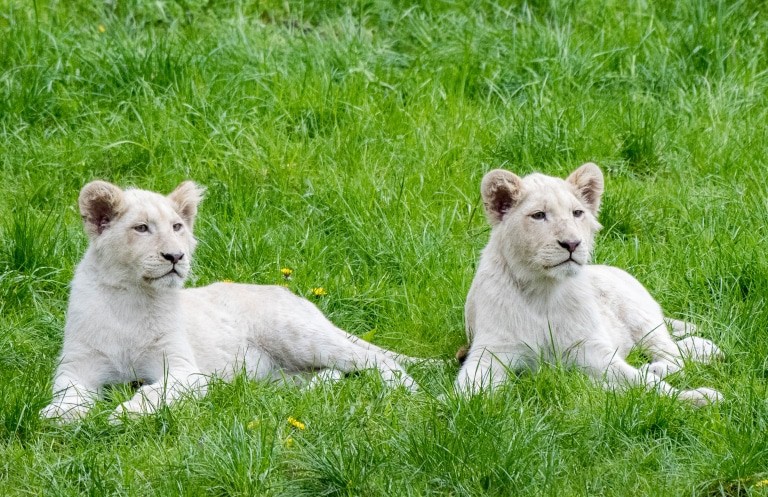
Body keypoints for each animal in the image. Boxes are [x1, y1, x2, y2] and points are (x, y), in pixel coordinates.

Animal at [40, 180, 418, 422]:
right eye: (142, 228)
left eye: (177, 227)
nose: (175, 256)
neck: (131, 298)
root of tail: (292, 294)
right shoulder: (77, 365)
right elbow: (67, 392)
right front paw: (59, 414)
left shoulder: (185, 371)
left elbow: (154, 392)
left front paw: (126, 413)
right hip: (279, 373)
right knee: (329, 373)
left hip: (296, 335)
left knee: (374, 359)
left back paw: (408, 392)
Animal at [456, 163, 723, 406]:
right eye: (539, 215)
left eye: (577, 213)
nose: (572, 244)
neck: (543, 289)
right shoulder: (493, 351)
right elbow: (468, 389)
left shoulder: (590, 349)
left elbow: (642, 382)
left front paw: (698, 397)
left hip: (642, 319)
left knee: (675, 354)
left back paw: (657, 367)